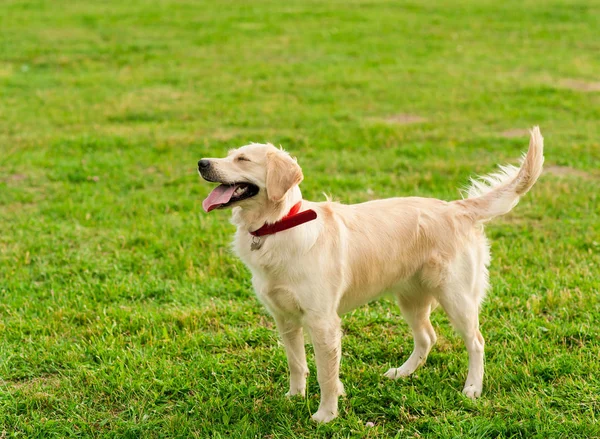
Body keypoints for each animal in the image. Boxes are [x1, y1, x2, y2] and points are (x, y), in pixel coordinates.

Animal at [197, 129, 544, 424]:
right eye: (228, 155)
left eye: (242, 159)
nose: (201, 163)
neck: (277, 224)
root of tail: (458, 208)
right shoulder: (284, 317)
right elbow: (296, 363)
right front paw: (294, 397)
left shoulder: (323, 322)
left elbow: (326, 374)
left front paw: (326, 415)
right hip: (411, 298)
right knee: (427, 337)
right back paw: (403, 373)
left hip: (457, 297)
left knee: (476, 342)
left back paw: (472, 388)